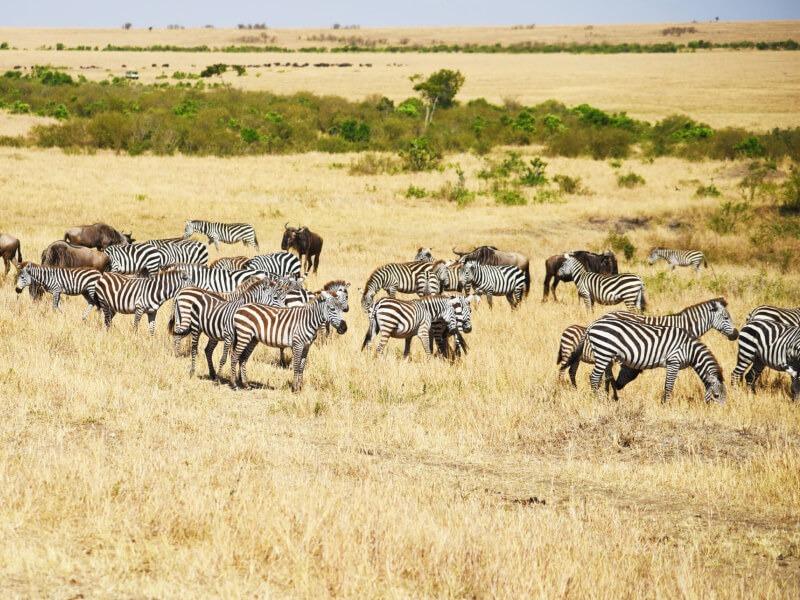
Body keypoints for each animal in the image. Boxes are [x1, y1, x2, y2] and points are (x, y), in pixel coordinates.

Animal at [577, 316, 726, 403]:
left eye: (726, 396)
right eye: (716, 396)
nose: (720, 413)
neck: (690, 349)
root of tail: (593, 324)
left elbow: (667, 384)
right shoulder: (674, 361)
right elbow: (669, 385)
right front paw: (667, 404)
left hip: (605, 354)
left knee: (603, 377)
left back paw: (607, 398)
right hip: (603, 352)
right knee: (594, 377)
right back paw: (597, 400)